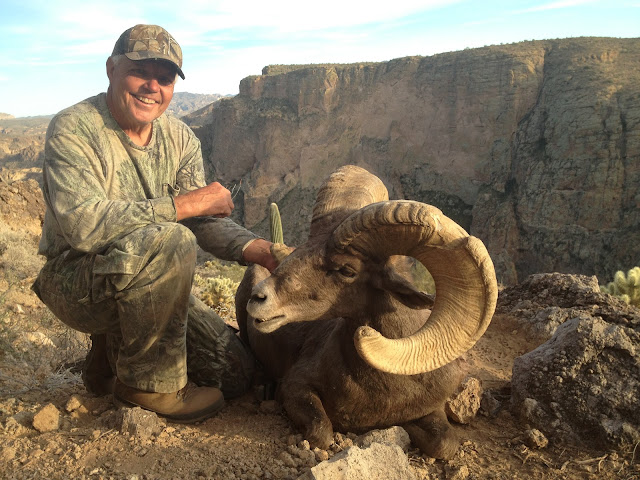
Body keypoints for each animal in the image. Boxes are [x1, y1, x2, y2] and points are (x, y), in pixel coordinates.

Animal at [235, 165, 498, 459]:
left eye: (347, 270)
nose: (259, 298)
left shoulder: (433, 410)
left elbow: (444, 444)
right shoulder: (296, 388)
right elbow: (321, 433)